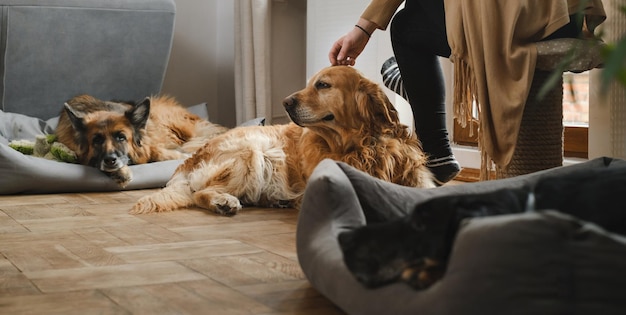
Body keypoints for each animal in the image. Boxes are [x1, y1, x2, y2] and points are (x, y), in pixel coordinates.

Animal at [55, 95, 227, 186]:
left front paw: (183, 156)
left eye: (121, 137)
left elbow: (158, 152)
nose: (110, 160)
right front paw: (120, 172)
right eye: (97, 140)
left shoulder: (150, 145)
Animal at [132, 65, 434, 216]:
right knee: (199, 194)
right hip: (253, 152)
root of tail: (187, 162)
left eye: (322, 85)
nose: (286, 102)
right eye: (310, 82)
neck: (359, 145)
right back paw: (224, 202)